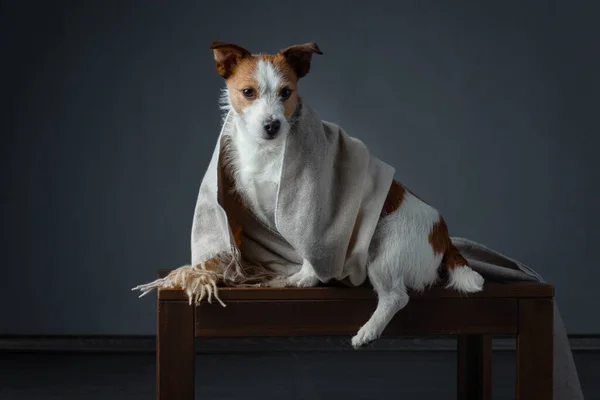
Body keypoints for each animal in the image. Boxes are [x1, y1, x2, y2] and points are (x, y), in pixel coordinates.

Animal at [209, 39, 486, 346]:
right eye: (248, 92)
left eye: (286, 92)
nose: (272, 126)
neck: (270, 151)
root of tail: (443, 233)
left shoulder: (310, 213)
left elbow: (310, 247)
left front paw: (308, 277)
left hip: (383, 252)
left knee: (396, 297)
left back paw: (368, 331)